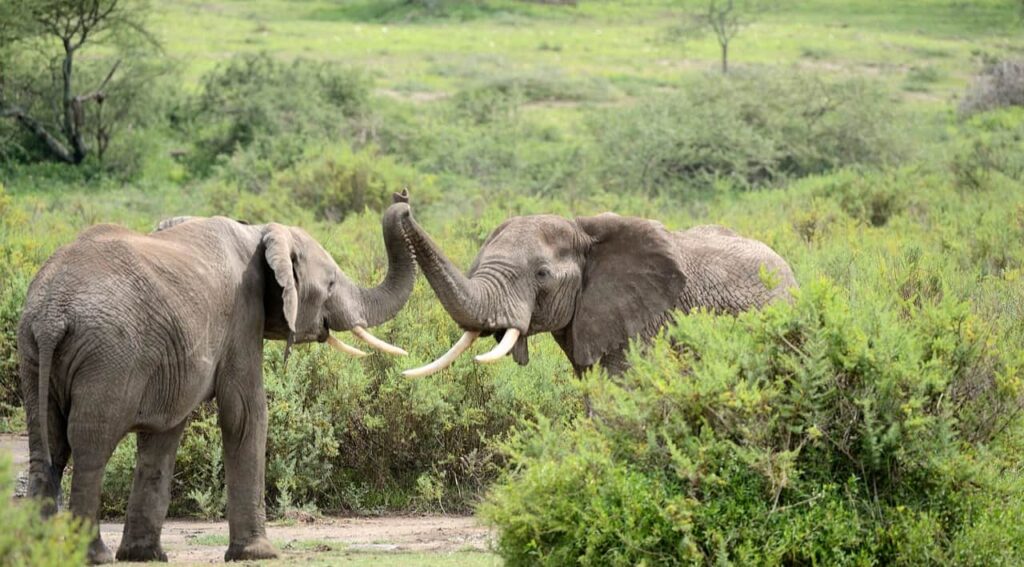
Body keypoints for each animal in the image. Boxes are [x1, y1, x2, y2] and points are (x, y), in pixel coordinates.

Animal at [17, 191, 415, 560]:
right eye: (330, 284)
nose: (403, 199)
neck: (259, 232)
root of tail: (52, 314)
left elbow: (163, 435)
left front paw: (145, 556)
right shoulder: (243, 314)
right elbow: (246, 413)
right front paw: (258, 554)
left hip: (34, 354)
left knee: (46, 445)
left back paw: (39, 552)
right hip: (108, 355)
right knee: (90, 448)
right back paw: (93, 555)